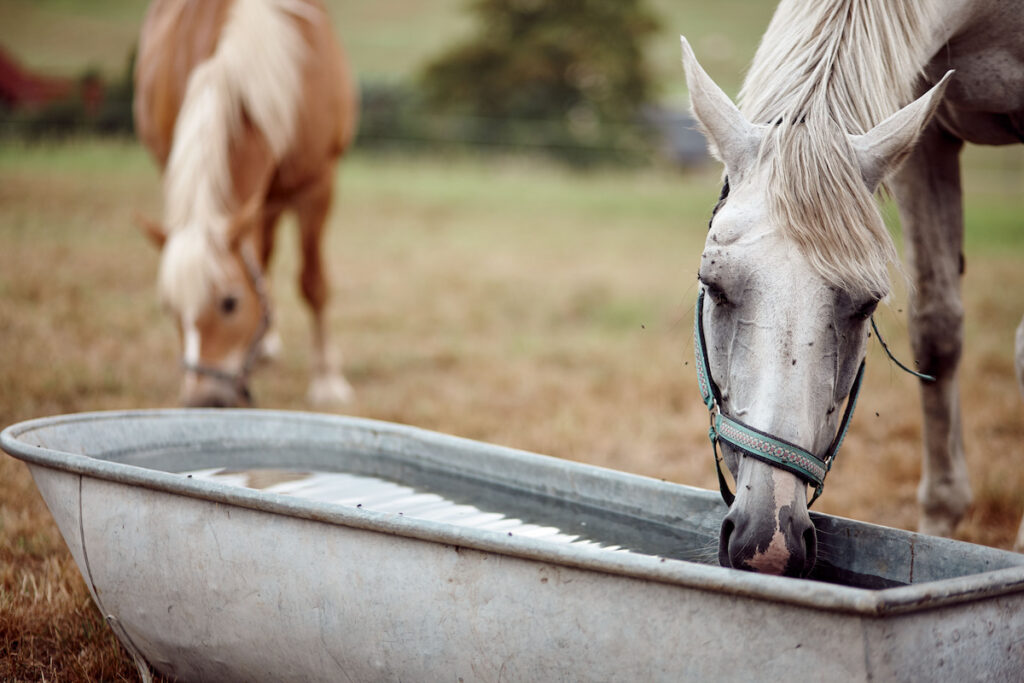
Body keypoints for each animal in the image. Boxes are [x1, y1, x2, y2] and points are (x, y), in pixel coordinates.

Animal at [133, 0, 356, 405]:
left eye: (229, 303)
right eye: (168, 308)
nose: (203, 401)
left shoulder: (317, 181)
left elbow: (313, 283)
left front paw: (327, 380)